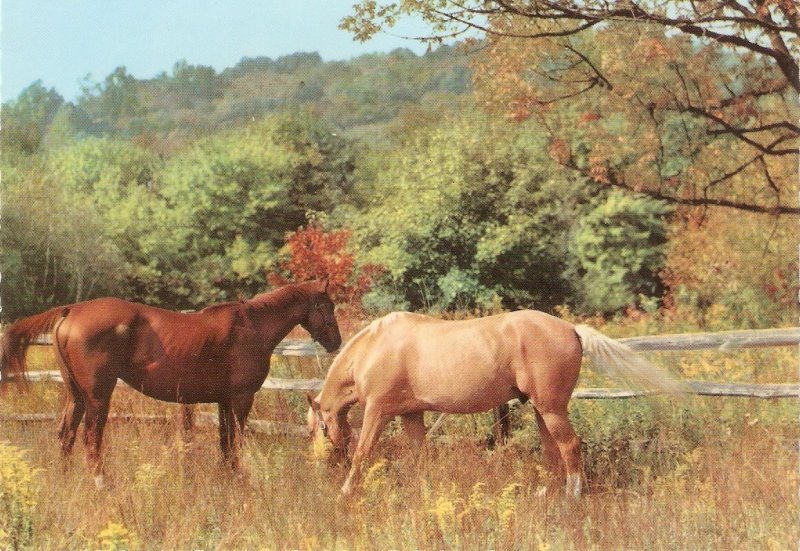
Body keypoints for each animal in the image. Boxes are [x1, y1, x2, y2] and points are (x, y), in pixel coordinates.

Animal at [0, 282, 340, 486]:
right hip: (98, 397)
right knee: (90, 438)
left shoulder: (223, 401)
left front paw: (226, 478)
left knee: (66, 434)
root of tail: (71, 310)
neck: (252, 327)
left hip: (76, 396)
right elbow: (237, 441)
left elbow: (225, 442)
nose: (336, 341)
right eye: (327, 306)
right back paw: (101, 481)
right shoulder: (242, 399)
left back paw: (66, 478)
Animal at [310, 312, 684, 498]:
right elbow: (420, 456)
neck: (374, 348)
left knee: (570, 447)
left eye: (317, 428)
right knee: (553, 451)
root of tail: (571, 329)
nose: (320, 464)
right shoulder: (411, 415)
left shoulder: (378, 411)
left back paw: (572, 496)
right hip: (541, 411)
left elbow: (363, 452)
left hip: (551, 409)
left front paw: (345, 492)